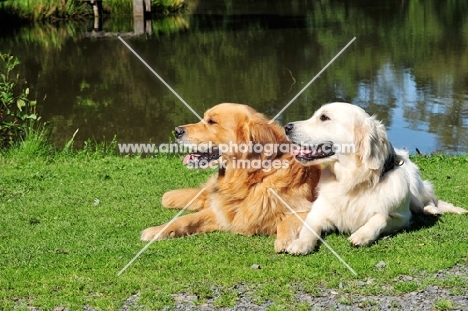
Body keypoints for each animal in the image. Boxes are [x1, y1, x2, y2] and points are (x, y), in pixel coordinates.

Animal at [284, 102, 466, 256]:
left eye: (324, 117)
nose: (286, 127)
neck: (353, 182)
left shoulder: (402, 218)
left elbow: (381, 217)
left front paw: (362, 234)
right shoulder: (318, 212)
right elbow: (308, 227)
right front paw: (300, 243)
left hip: (415, 186)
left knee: (428, 199)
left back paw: (431, 209)